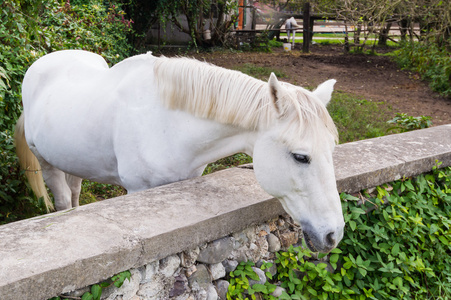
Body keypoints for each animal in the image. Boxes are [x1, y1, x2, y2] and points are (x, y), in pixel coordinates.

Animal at [15, 49, 344, 253]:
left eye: (330, 150)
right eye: (300, 156)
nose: (334, 234)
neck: (168, 123)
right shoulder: (137, 190)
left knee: (74, 192)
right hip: (45, 162)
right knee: (61, 200)